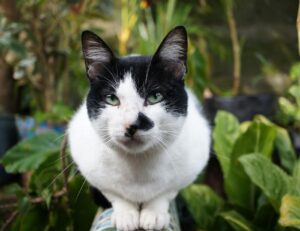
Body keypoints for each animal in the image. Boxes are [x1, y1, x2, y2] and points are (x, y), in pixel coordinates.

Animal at [67, 26, 210, 230]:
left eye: (155, 97)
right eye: (112, 99)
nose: (132, 124)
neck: (138, 166)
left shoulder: (190, 167)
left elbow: (166, 192)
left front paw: (153, 213)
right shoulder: (88, 163)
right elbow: (114, 193)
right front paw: (126, 214)